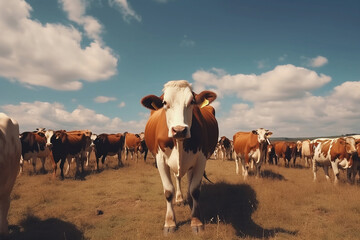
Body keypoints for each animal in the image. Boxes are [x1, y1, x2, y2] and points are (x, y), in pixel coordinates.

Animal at [141, 79, 218, 233]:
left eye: (192, 101)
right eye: (164, 103)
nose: (179, 130)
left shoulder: (201, 159)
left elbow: (195, 190)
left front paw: (196, 221)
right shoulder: (160, 160)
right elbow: (168, 191)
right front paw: (170, 222)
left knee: (188, 179)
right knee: (177, 177)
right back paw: (180, 198)